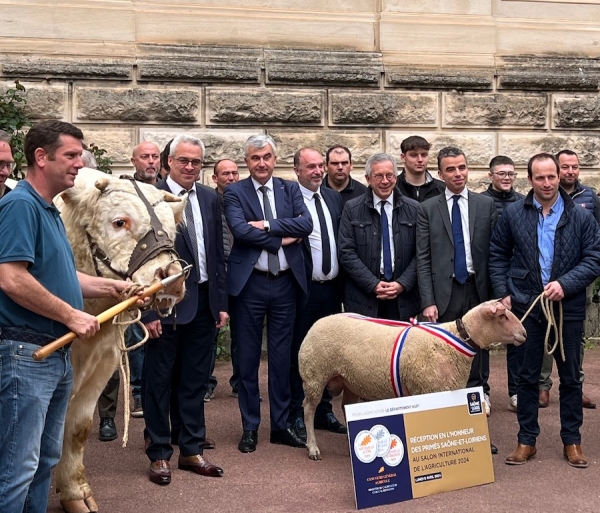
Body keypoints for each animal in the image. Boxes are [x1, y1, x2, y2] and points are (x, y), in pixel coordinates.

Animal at [52, 169, 186, 512]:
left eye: (171, 229)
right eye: (119, 222)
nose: (173, 278)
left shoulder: (104, 360)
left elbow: (78, 427)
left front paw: (75, 492)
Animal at [298, 298, 524, 458]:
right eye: (503, 317)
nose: (524, 334)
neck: (457, 339)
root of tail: (317, 322)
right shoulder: (426, 389)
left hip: (350, 381)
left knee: (346, 408)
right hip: (314, 374)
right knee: (308, 409)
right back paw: (312, 448)